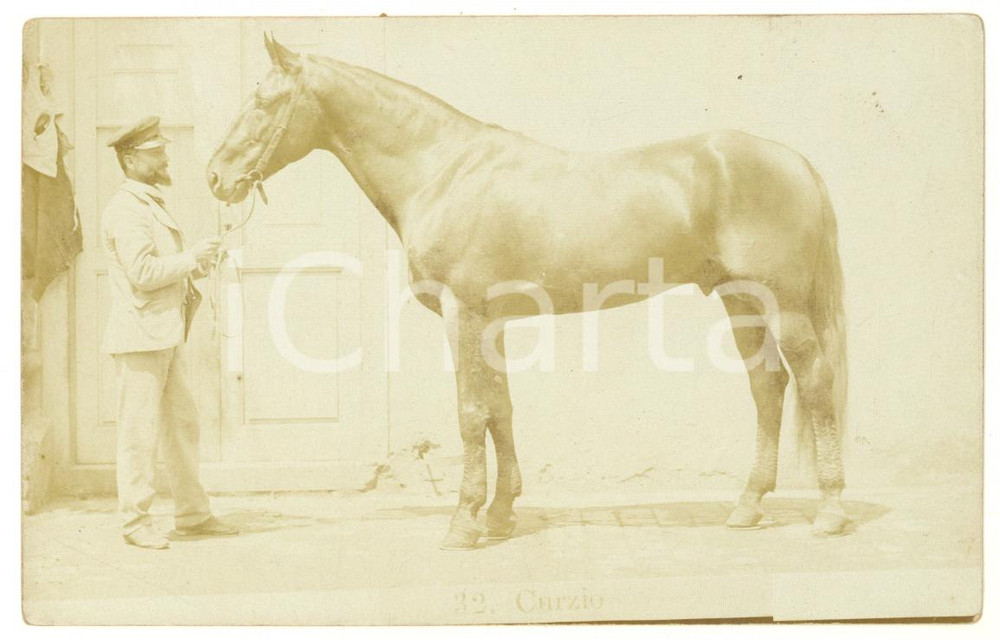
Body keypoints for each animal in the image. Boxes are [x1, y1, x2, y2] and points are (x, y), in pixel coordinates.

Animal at [207, 34, 850, 549]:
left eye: (264, 102)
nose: (215, 176)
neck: (442, 170)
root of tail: (796, 161)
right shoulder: (490, 323)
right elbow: (500, 410)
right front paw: (499, 514)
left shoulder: (462, 314)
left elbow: (470, 414)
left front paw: (463, 523)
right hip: (741, 301)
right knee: (768, 387)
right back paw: (748, 506)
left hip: (783, 305)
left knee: (815, 383)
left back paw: (829, 511)